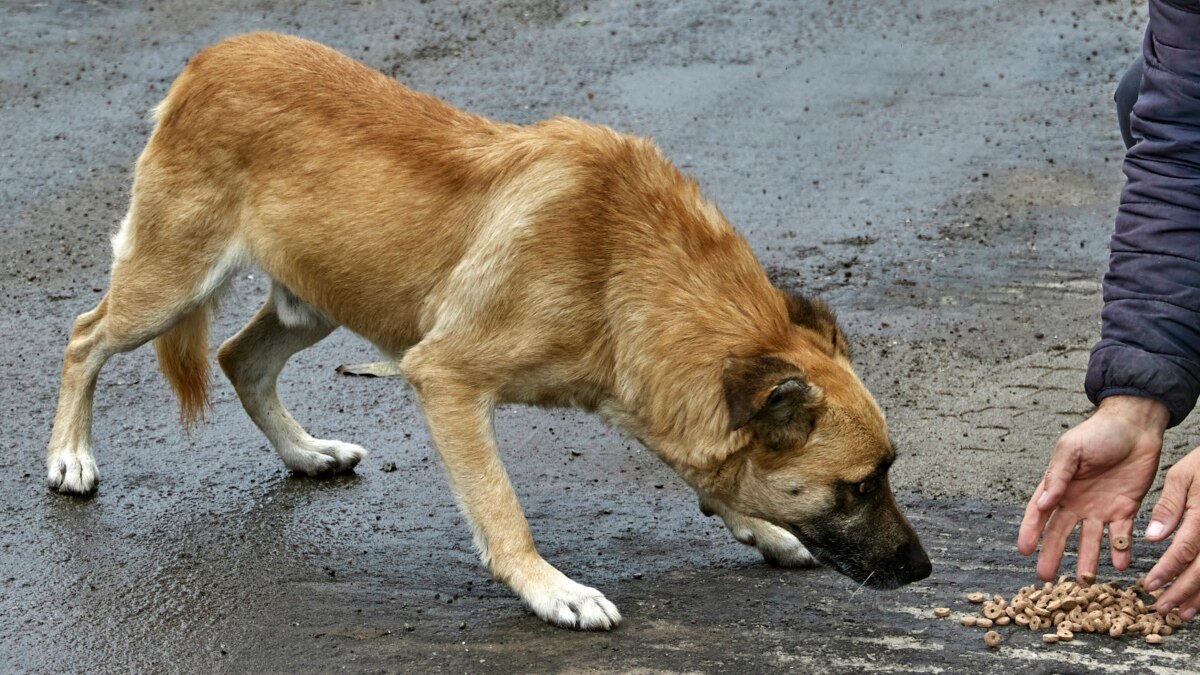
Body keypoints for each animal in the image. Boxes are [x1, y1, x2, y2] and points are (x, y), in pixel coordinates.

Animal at [44, 34, 926, 629]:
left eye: (886, 472)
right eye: (859, 484)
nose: (921, 570)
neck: (621, 259)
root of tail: (210, 56)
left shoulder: (647, 390)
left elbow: (704, 470)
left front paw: (760, 526)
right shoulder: (447, 379)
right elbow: (504, 510)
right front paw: (552, 589)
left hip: (318, 298)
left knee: (238, 357)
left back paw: (304, 452)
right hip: (169, 284)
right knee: (85, 336)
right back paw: (69, 457)